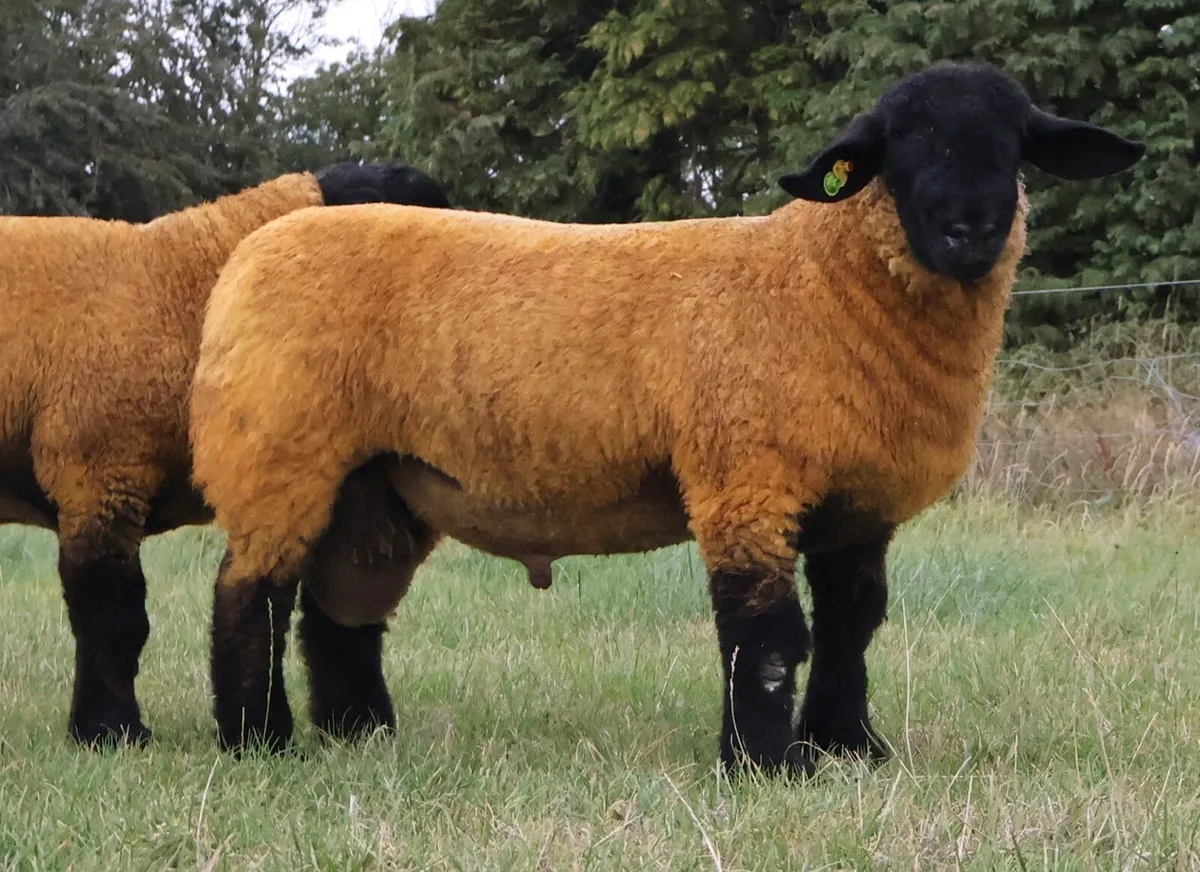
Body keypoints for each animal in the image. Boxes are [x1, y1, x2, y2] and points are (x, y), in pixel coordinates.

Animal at [188, 61, 1144, 774]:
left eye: (1015, 144)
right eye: (899, 145)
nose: (969, 231)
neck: (820, 282)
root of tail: (252, 249)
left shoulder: (853, 502)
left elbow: (853, 621)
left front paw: (849, 746)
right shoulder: (745, 476)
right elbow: (764, 631)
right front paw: (766, 765)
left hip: (377, 485)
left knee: (337, 613)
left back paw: (363, 736)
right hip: (276, 448)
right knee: (250, 596)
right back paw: (258, 743)